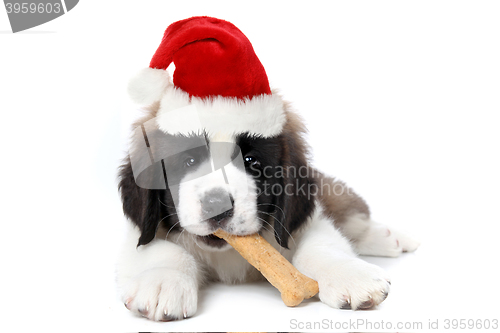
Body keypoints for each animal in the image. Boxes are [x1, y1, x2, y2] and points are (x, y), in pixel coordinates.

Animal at [116, 16, 418, 320]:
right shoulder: (139, 233)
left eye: (252, 163)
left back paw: (391, 238)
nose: (217, 204)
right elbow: (162, 250)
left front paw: (350, 275)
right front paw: (163, 281)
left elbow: (320, 245)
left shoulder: (303, 222)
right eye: (188, 162)